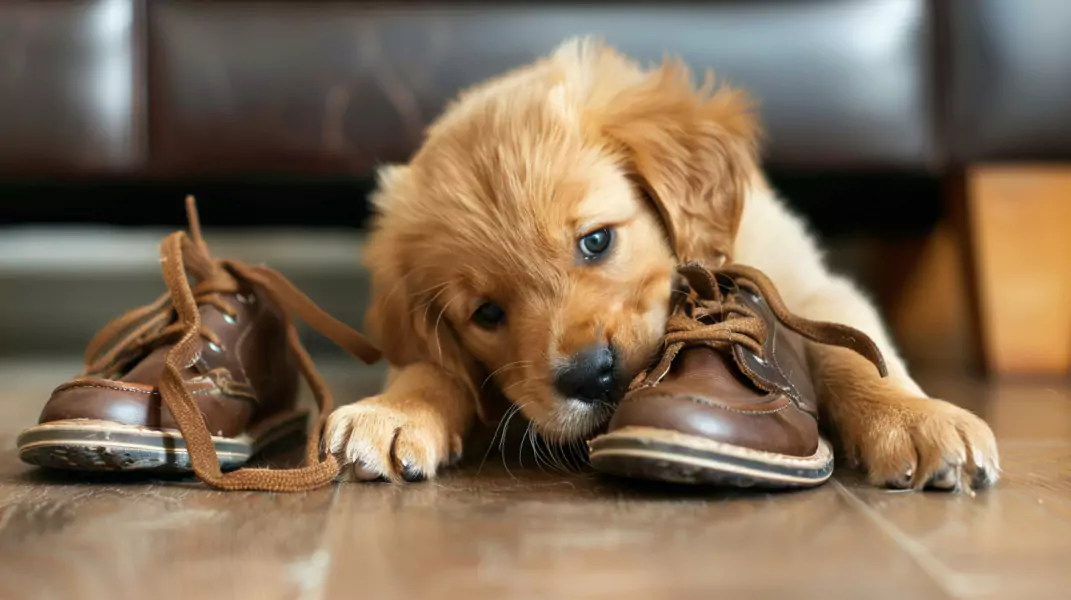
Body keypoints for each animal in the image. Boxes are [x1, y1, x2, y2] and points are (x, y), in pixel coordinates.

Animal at [323, 37, 993, 490]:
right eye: (486, 313)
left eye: (596, 241)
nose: (591, 377)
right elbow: (432, 366)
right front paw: (393, 410)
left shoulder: (806, 283)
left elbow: (853, 354)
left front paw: (916, 420)